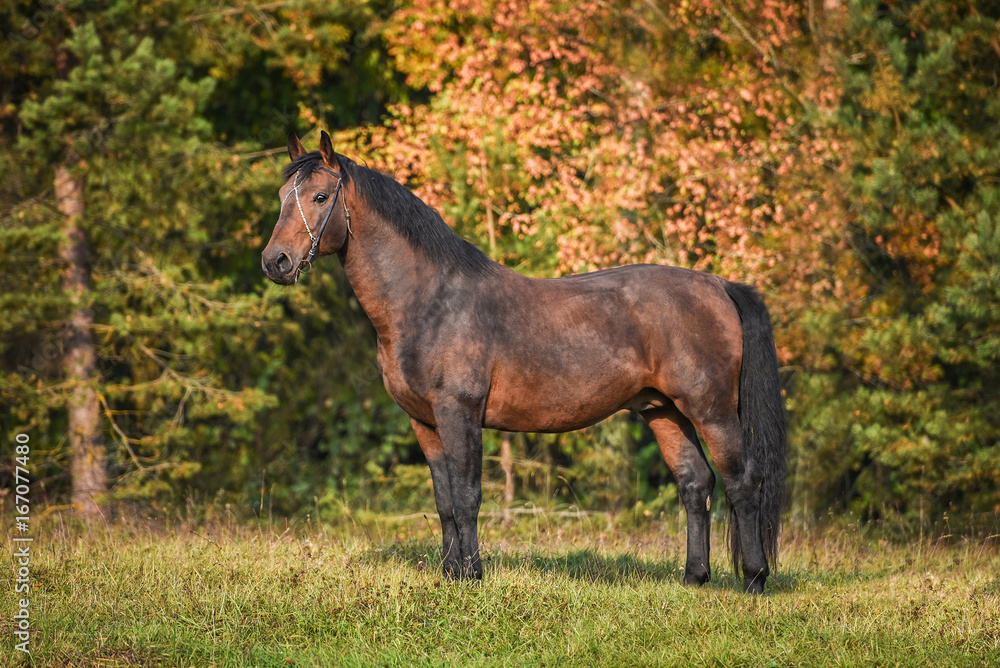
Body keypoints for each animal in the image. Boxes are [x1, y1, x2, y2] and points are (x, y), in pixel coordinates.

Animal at [261, 131, 787, 594]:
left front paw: (471, 577)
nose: (275, 261)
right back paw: (694, 578)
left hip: (711, 410)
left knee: (743, 482)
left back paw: (754, 580)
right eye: (284, 196)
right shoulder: (424, 422)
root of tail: (718, 285)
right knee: (695, 483)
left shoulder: (459, 412)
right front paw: (449, 574)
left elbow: (468, 496)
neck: (429, 301)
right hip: (663, 411)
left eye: (321, 196)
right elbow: (444, 501)